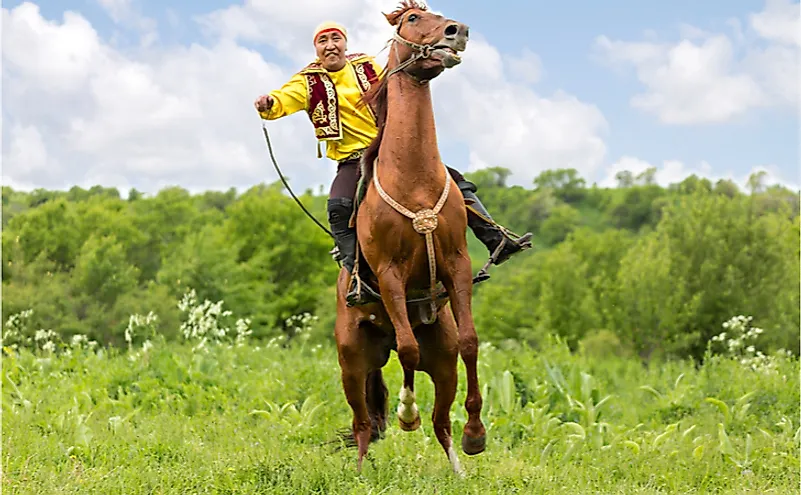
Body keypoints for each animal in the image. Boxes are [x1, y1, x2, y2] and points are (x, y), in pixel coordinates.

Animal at [332, 0, 484, 476]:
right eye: (413, 19)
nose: (458, 30)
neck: (413, 177)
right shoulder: (390, 274)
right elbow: (408, 349)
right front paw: (406, 412)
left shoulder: (457, 263)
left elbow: (470, 342)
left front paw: (477, 433)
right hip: (352, 363)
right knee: (364, 422)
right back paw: (361, 473)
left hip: (443, 363)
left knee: (441, 422)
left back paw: (459, 466)